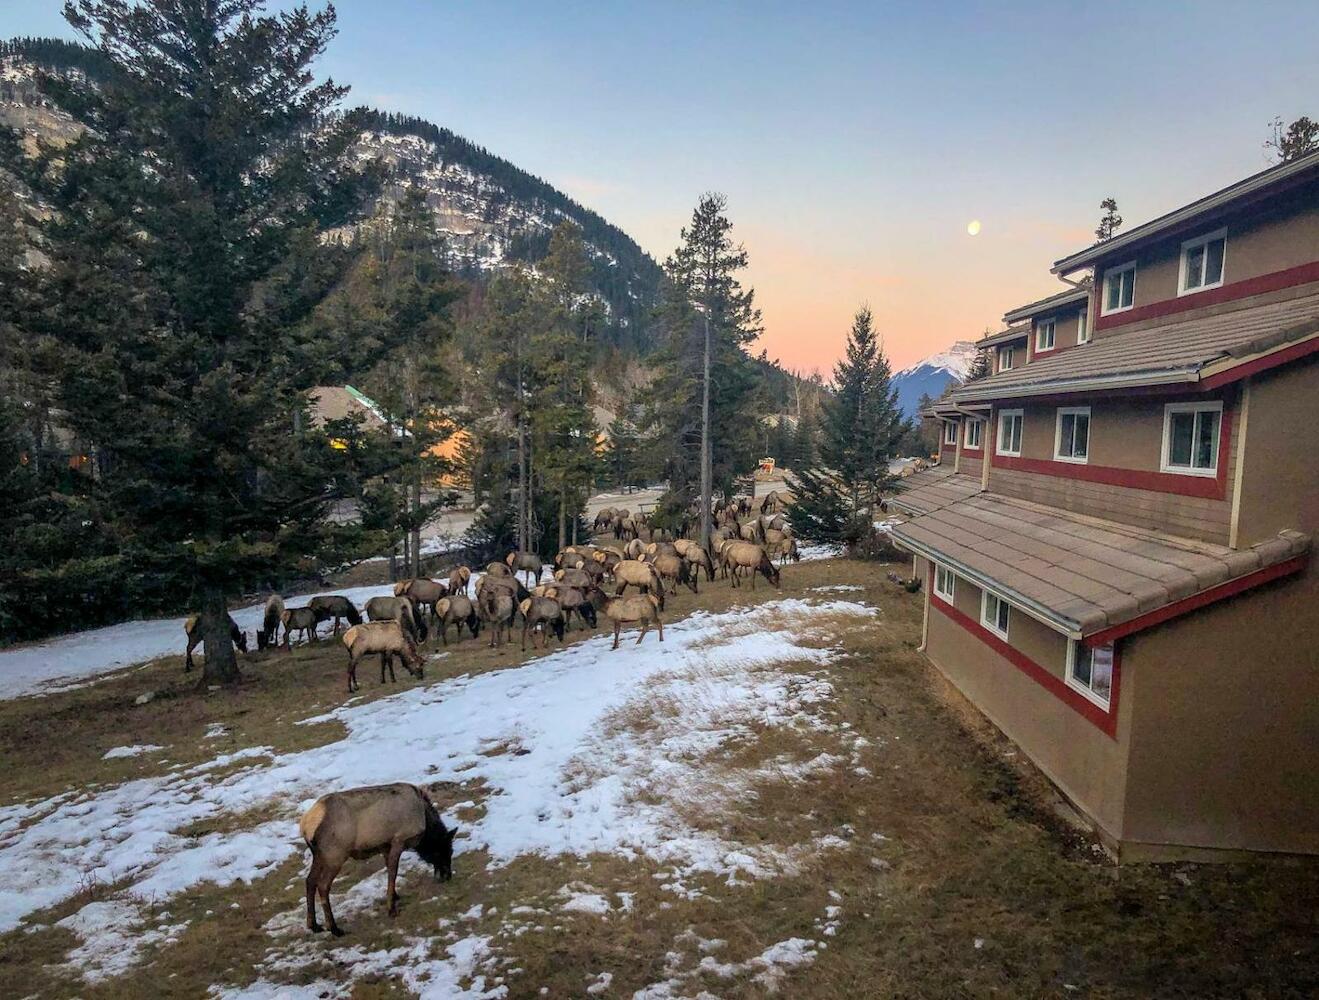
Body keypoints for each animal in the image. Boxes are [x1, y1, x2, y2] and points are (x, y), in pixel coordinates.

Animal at [300, 781, 459, 939]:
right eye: (444, 851)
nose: (447, 875)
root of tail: (305, 825)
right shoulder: (398, 840)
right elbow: (393, 872)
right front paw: (391, 909)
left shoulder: (385, 846)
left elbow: (389, 870)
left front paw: (395, 896)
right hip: (335, 855)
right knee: (323, 885)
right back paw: (334, 928)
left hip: (319, 855)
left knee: (310, 881)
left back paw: (313, 925)